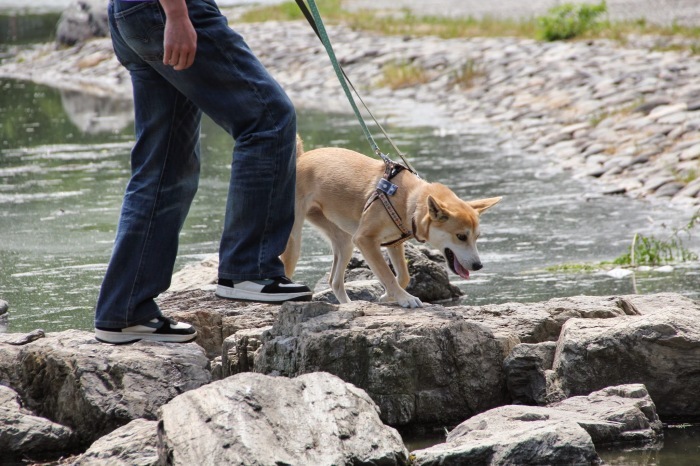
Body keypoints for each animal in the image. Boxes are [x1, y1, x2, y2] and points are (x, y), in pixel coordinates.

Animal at [282, 137, 500, 308]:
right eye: (461, 236)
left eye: (477, 237)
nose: (478, 265)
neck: (409, 199)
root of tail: (301, 158)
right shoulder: (365, 240)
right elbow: (386, 273)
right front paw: (405, 299)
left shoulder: (394, 243)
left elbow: (403, 276)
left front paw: (387, 295)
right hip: (295, 240)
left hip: (344, 242)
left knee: (334, 280)